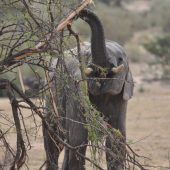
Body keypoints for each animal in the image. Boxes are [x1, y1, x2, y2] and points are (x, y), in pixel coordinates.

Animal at [42, 8, 134, 170]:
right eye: (87, 56)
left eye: (120, 59)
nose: (76, 13)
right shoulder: (76, 90)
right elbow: (78, 138)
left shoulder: (121, 97)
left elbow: (116, 139)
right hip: (51, 94)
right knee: (53, 139)